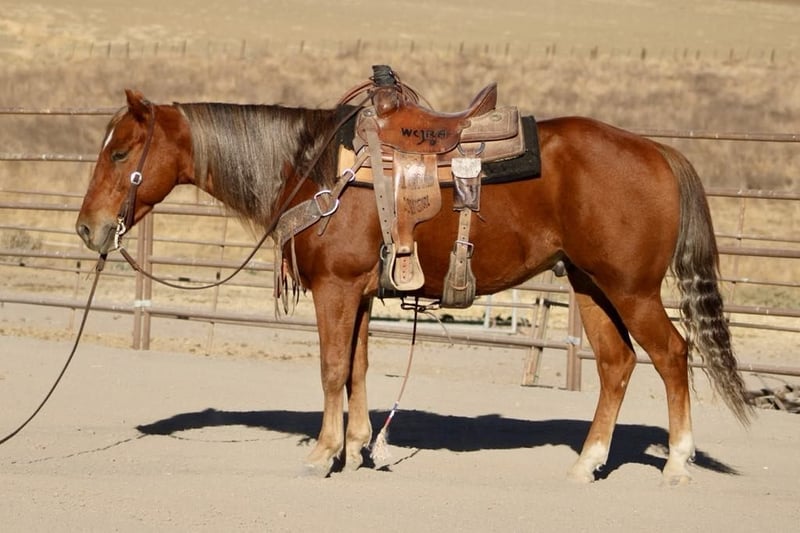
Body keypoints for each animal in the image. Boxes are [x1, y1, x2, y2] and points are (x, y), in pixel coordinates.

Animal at [75, 87, 752, 484]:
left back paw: (677, 464)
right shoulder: (358, 294)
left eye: (120, 153)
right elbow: (356, 370)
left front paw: (322, 454)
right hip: (590, 285)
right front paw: (356, 448)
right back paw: (587, 463)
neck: (315, 168)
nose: (88, 228)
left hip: (631, 288)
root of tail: (659, 152)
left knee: (672, 355)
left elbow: (331, 369)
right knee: (616, 364)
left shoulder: (335, 290)